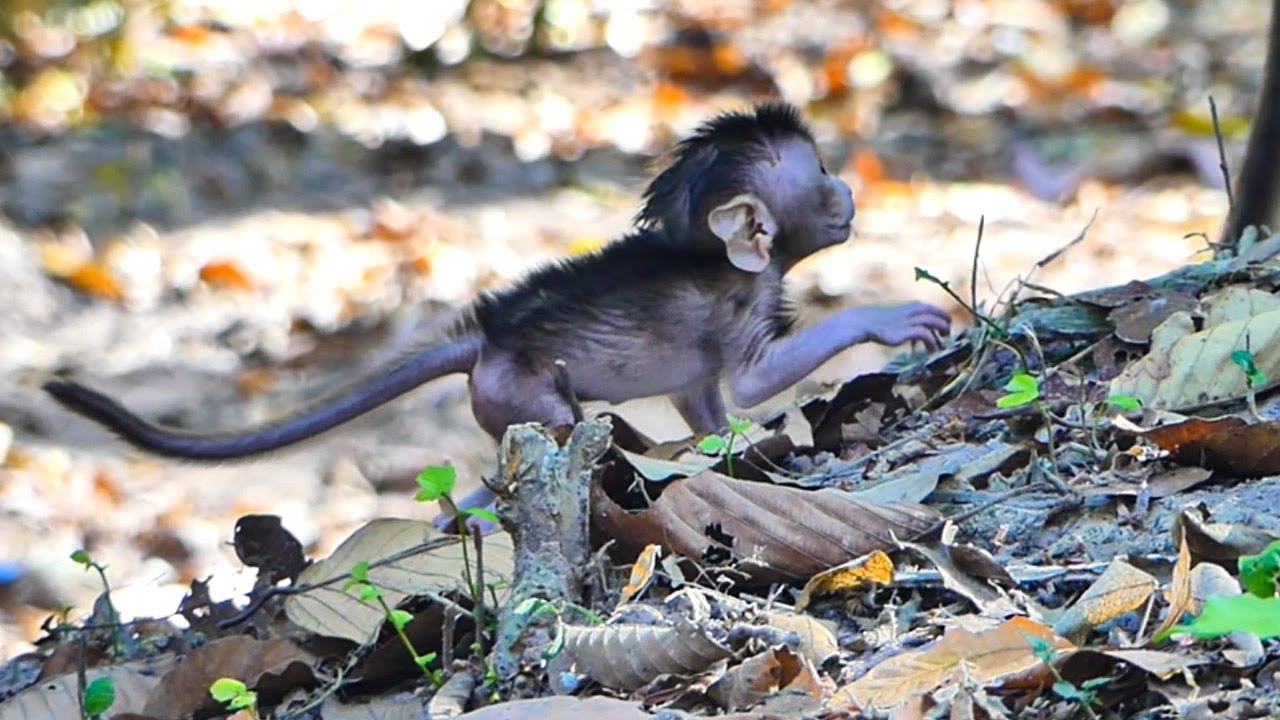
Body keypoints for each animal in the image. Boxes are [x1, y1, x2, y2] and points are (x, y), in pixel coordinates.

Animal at [43, 102, 952, 517]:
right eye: (821, 173)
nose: (849, 193)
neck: (711, 254)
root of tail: (485, 343)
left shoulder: (700, 367)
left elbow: (706, 401)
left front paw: (723, 438)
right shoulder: (737, 308)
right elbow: (758, 380)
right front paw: (887, 320)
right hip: (524, 397)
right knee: (544, 438)